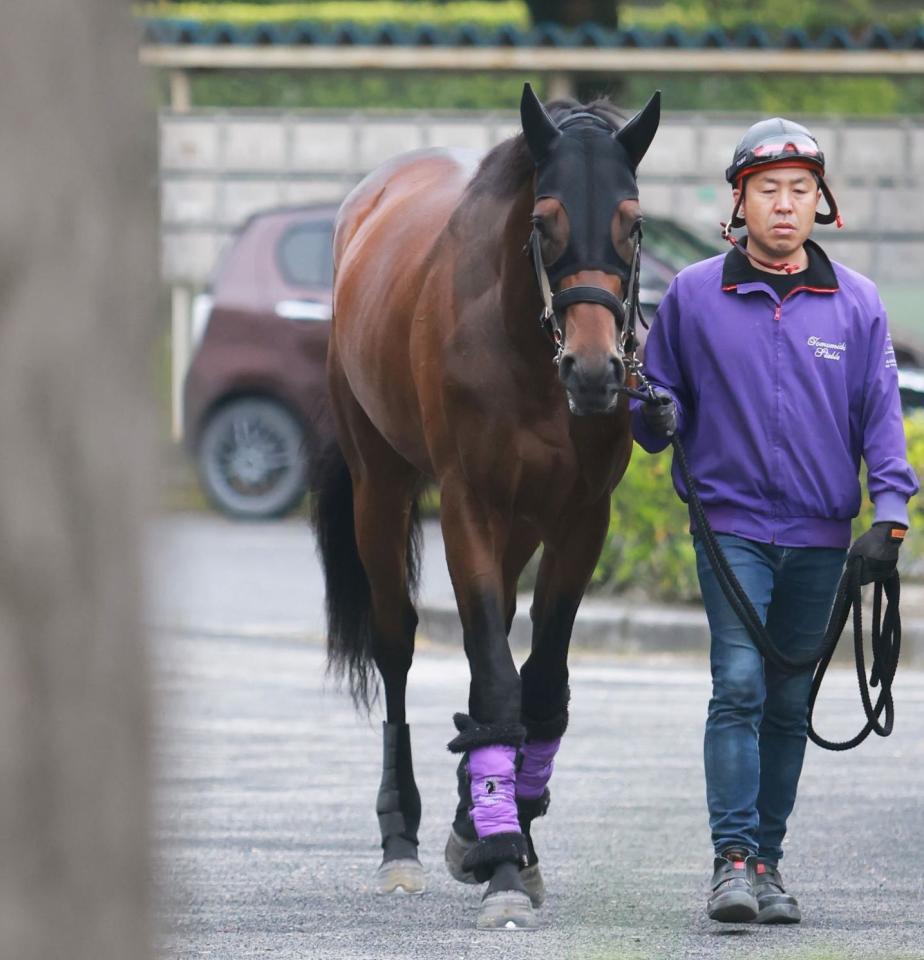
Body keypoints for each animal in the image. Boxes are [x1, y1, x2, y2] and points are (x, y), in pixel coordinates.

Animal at [314, 84, 660, 928]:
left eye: (634, 223)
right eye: (545, 221)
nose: (596, 371)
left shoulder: (580, 519)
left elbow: (537, 682)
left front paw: (507, 832)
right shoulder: (469, 504)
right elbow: (497, 677)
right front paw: (501, 860)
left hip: (521, 524)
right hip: (381, 488)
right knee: (397, 642)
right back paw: (400, 840)